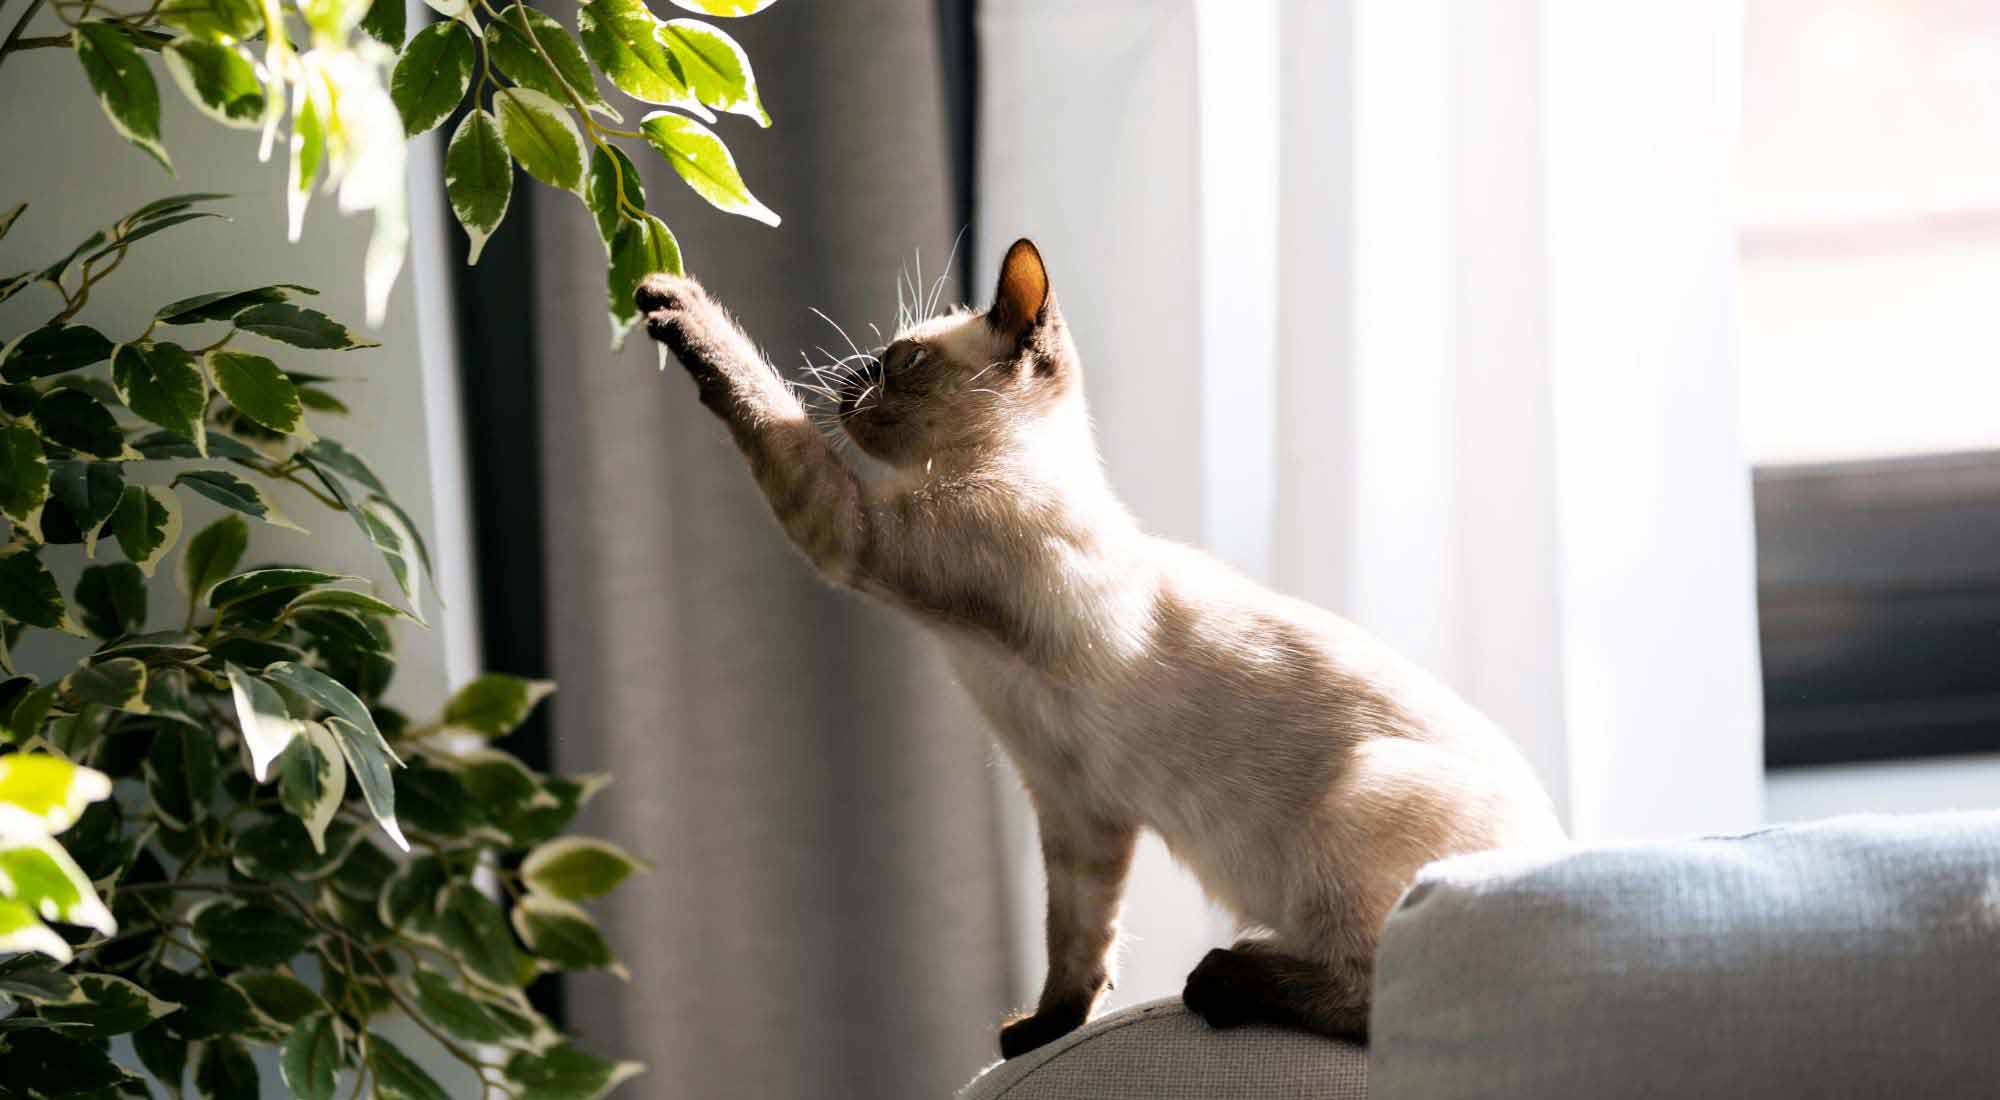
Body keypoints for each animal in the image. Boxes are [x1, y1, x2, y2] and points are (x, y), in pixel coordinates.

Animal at [636, 244, 1560, 1064]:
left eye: (903, 362)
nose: (852, 373)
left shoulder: (851, 535)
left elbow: (762, 407)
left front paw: (671, 300)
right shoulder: (1075, 806)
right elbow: (1074, 940)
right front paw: (1043, 1033)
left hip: (1355, 806)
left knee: (1377, 996)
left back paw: (1222, 981)